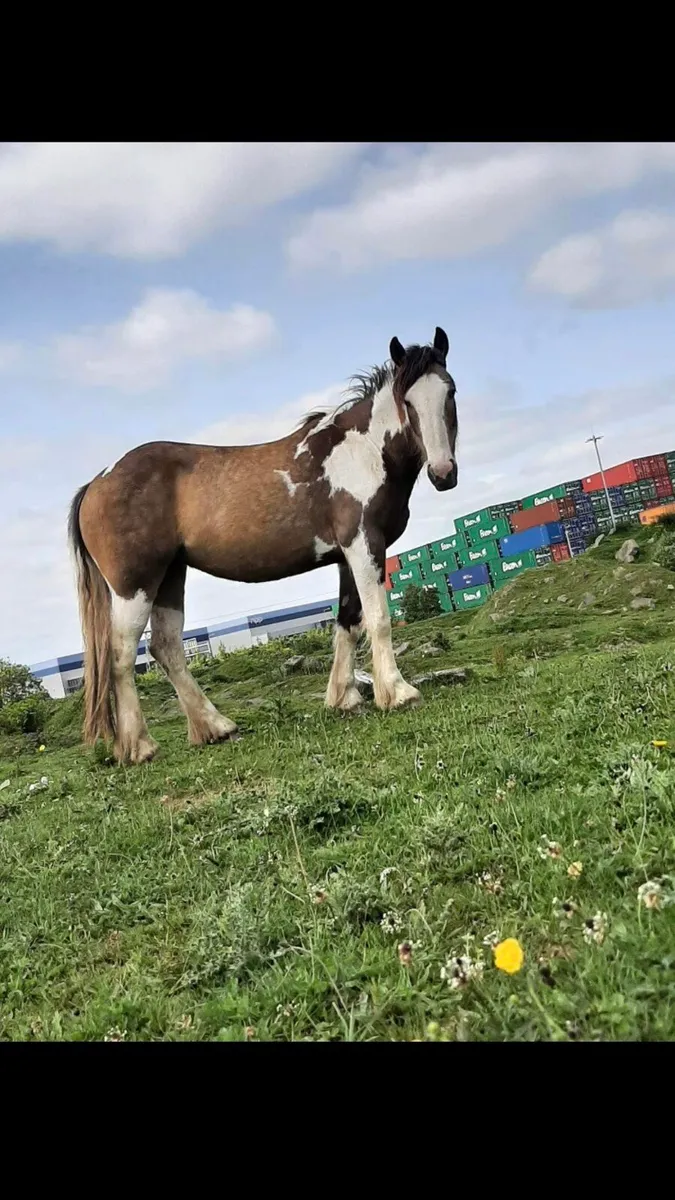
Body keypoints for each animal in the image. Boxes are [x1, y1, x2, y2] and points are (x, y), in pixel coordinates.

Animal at [68, 326, 458, 765]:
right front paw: (397, 692)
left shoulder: (347, 556)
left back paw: (214, 727)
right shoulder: (364, 545)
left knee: (166, 648)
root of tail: (95, 484)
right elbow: (379, 619)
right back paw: (140, 746)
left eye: (450, 391)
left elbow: (348, 622)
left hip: (170, 576)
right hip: (135, 585)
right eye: (407, 401)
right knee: (121, 655)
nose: (443, 472)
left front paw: (344, 698)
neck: (365, 452)